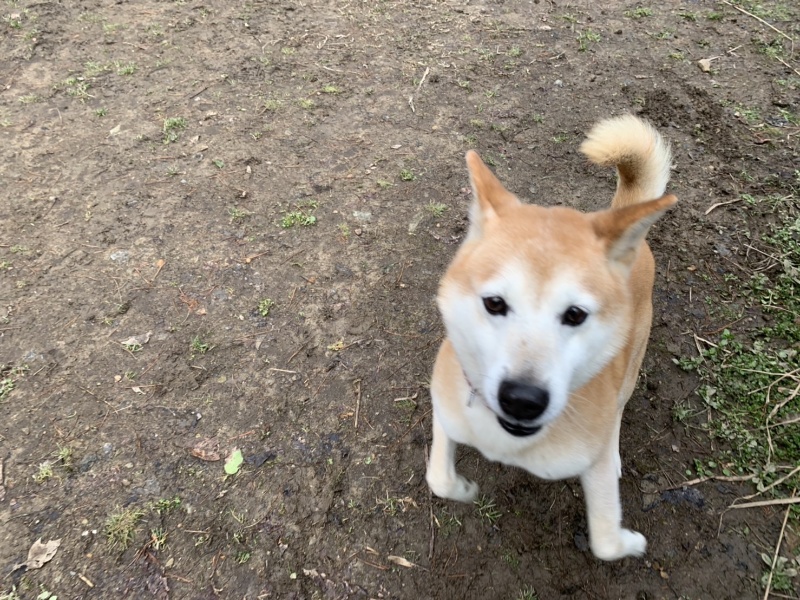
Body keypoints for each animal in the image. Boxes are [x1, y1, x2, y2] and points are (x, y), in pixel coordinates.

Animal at [425, 115, 676, 561]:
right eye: (494, 303)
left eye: (575, 314)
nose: (522, 400)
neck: (507, 440)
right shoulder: (446, 404)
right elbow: (438, 478)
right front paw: (464, 487)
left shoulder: (590, 463)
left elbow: (606, 541)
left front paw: (630, 543)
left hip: (630, 366)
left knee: (618, 411)